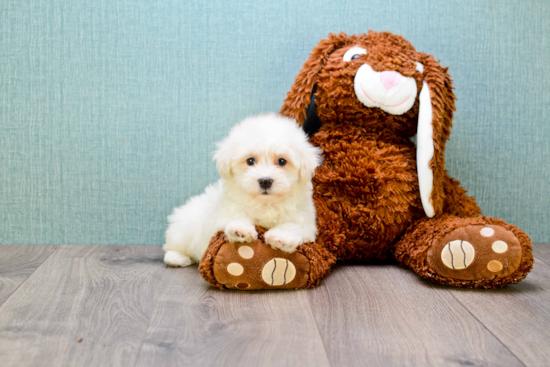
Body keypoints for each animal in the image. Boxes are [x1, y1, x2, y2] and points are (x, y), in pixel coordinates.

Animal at [163, 113, 324, 268]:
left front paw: (281, 237)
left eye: (282, 161)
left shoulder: (305, 221)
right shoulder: (223, 214)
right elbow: (235, 216)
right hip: (182, 231)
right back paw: (178, 258)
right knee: (171, 247)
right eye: (250, 161)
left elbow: (295, 226)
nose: (265, 181)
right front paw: (240, 229)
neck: (265, 203)